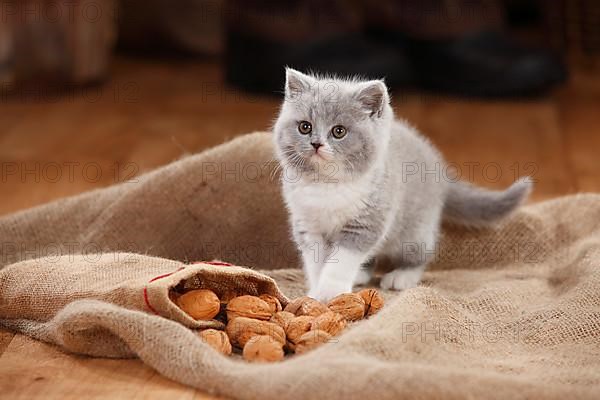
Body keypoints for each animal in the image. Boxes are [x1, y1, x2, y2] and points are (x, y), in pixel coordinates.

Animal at [272, 68, 528, 300]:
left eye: (339, 131)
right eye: (305, 126)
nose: (316, 144)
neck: (327, 184)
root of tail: (440, 171)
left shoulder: (367, 221)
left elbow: (341, 261)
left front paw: (330, 292)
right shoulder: (307, 225)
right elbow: (317, 262)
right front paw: (316, 293)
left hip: (414, 231)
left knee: (422, 254)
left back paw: (402, 276)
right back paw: (362, 274)